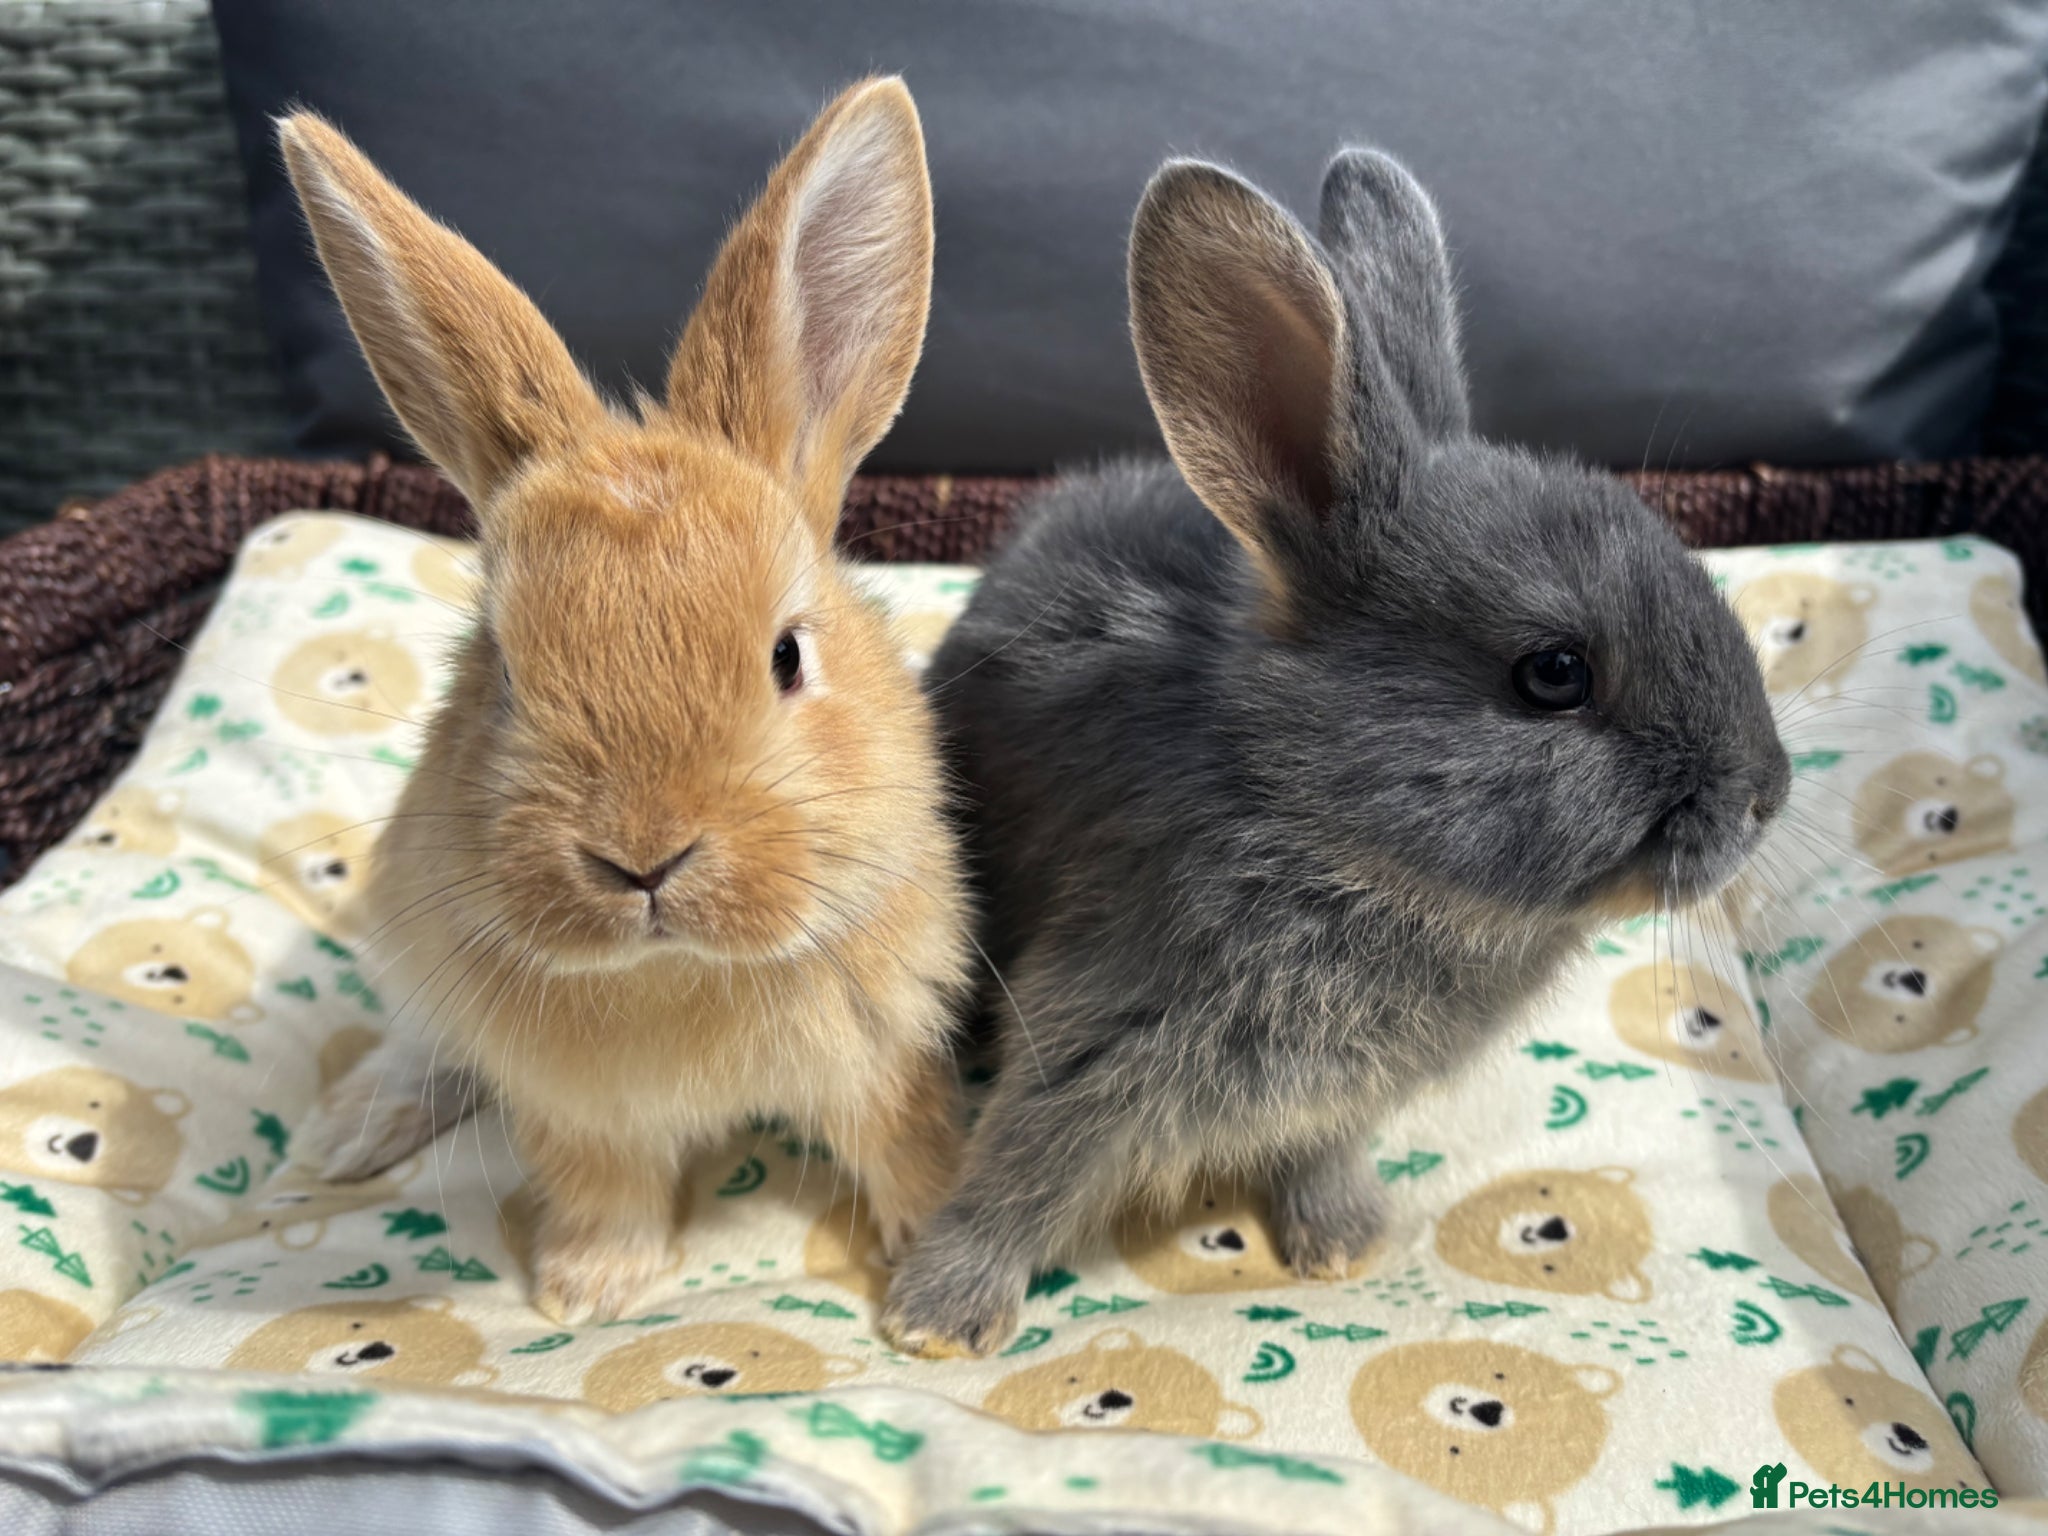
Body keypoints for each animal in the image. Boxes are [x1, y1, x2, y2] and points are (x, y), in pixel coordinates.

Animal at [279, 79, 971, 1325]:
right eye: (502, 672)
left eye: (788, 656)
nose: (642, 860)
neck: (676, 969)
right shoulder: (579, 1113)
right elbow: (605, 1188)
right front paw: (590, 1294)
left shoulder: (885, 1052)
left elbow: (906, 1150)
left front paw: (930, 1270)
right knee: (422, 1041)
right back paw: (341, 1136)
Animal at [878, 149, 1790, 1358]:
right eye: (1553, 673)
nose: (1766, 795)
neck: (1323, 829)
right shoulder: (1088, 1038)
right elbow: (1019, 1174)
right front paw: (936, 1321)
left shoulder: (1330, 1104)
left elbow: (1310, 1157)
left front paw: (1344, 1244)